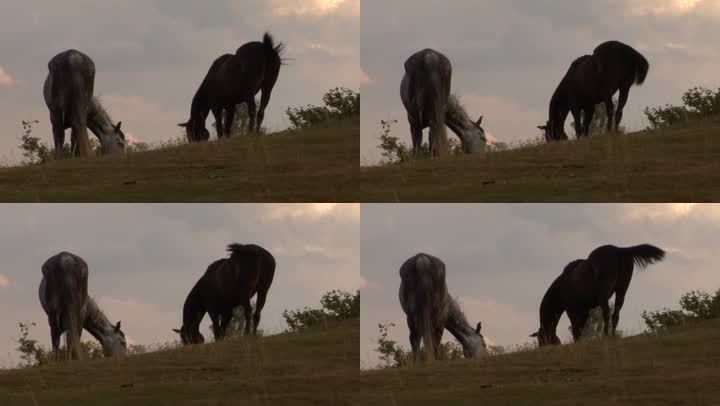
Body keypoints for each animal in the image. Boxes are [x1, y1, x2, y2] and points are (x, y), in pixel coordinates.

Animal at [528, 244, 664, 346]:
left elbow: (576, 326)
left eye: (541, 338)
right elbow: (581, 326)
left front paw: (577, 342)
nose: (542, 347)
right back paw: (613, 335)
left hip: (604, 292)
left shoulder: (572, 309)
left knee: (606, 313)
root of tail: (617, 250)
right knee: (616, 314)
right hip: (622, 290)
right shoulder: (584, 310)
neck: (561, 288)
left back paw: (605, 335)